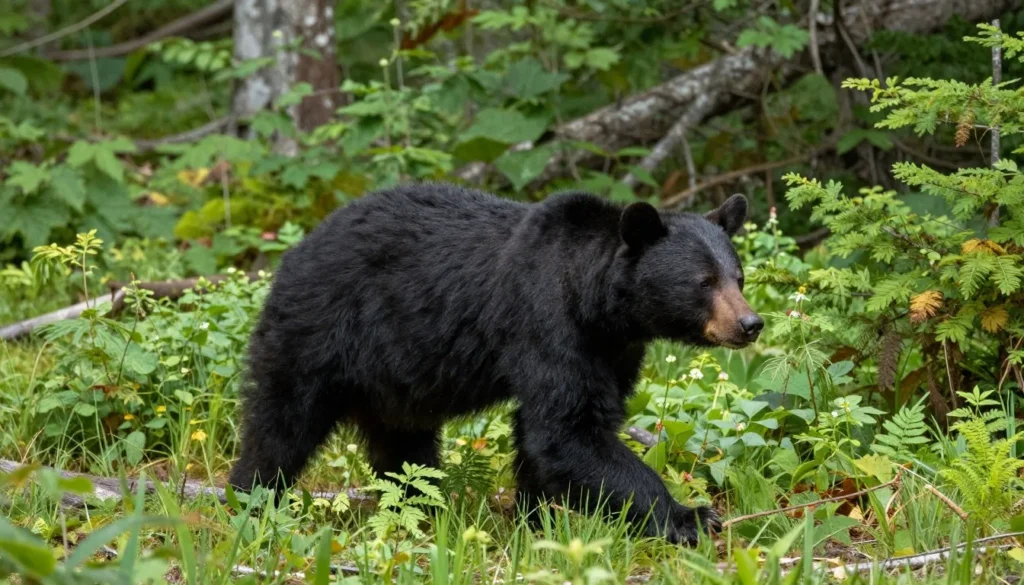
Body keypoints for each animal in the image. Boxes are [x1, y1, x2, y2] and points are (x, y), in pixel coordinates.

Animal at [228, 182, 763, 544]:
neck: (599, 306)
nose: (750, 323)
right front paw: (690, 516)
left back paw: (422, 510)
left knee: (403, 449)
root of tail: (295, 252)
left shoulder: (612, 351)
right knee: (281, 424)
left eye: (737, 276)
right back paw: (250, 499)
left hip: (394, 381)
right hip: (317, 333)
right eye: (703, 281)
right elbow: (568, 430)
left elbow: (548, 433)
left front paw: (533, 518)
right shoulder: (546, 323)